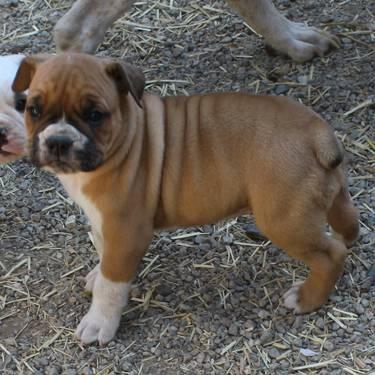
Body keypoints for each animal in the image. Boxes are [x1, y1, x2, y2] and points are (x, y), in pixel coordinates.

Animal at [12, 53, 358, 346]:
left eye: (95, 115)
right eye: (33, 110)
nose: (58, 141)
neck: (127, 133)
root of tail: (316, 133)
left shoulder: (126, 231)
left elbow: (112, 283)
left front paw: (99, 322)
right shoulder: (102, 221)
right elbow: (102, 250)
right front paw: (97, 274)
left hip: (283, 219)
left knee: (331, 255)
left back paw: (306, 299)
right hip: (329, 195)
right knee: (347, 225)